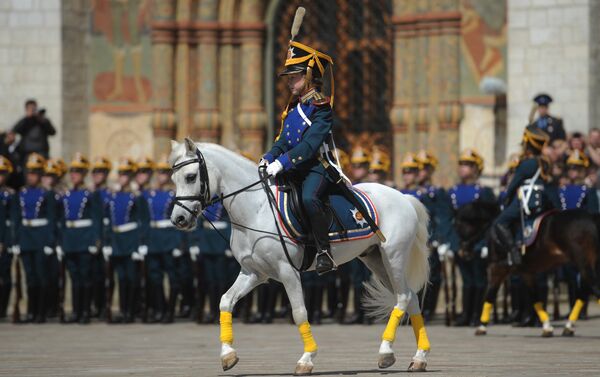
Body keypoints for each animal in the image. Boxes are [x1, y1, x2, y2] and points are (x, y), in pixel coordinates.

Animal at [171, 140, 434, 374]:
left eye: (191, 177)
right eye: (173, 179)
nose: (178, 219)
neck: (256, 208)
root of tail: (403, 197)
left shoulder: (287, 271)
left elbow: (299, 313)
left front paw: (307, 359)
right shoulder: (254, 273)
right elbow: (225, 301)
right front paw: (228, 355)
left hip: (394, 257)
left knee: (402, 297)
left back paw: (385, 352)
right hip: (376, 260)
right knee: (410, 297)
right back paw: (419, 358)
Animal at [454, 203, 600, 338]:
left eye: (460, 225)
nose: (462, 252)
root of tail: (592, 217)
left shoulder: (496, 269)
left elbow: (489, 296)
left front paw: (481, 326)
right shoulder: (527, 273)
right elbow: (535, 298)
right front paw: (547, 327)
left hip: (583, 264)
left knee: (592, 288)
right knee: (585, 291)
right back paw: (568, 327)